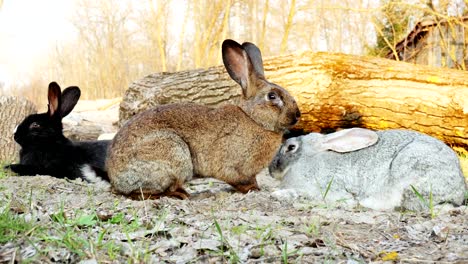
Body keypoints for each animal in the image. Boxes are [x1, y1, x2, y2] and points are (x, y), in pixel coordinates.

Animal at [106, 39, 300, 198]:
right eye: (272, 97)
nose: (297, 115)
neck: (253, 118)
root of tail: (116, 177)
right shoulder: (233, 168)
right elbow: (240, 181)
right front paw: (253, 190)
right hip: (173, 153)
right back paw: (183, 194)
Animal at [268, 127, 466, 211]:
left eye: (291, 147)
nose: (271, 170)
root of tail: (458, 191)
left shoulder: (327, 187)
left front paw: (278, 194)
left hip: (408, 171)